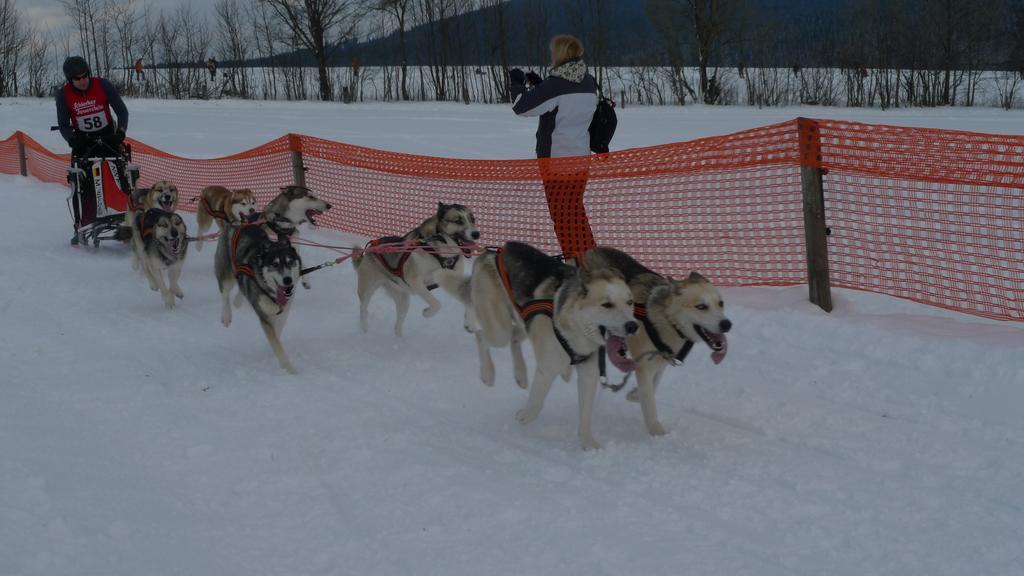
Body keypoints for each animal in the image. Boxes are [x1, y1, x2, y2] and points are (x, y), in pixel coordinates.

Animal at [211, 183, 327, 373]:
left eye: (315, 195)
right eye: (310, 197)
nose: (329, 205)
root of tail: (238, 223)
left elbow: (277, 336)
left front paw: (306, 280)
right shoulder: (265, 318)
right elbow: (276, 343)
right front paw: (289, 369)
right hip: (225, 272)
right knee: (225, 293)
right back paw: (227, 314)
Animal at [442, 238, 638, 448]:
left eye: (630, 302)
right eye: (607, 304)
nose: (633, 325)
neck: (574, 326)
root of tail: (491, 253)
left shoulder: (588, 372)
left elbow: (585, 413)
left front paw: (589, 444)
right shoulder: (547, 369)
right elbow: (536, 404)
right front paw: (523, 416)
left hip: (522, 323)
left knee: (514, 337)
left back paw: (520, 375)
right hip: (499, 330)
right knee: (481, 336)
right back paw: (488, 373)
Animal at [581, 245, 733, 434]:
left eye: (721, 303)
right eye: (701, 306)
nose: (727, 324)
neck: (668, 321)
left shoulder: (660, 363)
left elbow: (651, 388)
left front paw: (634, 394)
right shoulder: (644, 367)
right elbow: (650, 404)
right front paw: (658, 434)